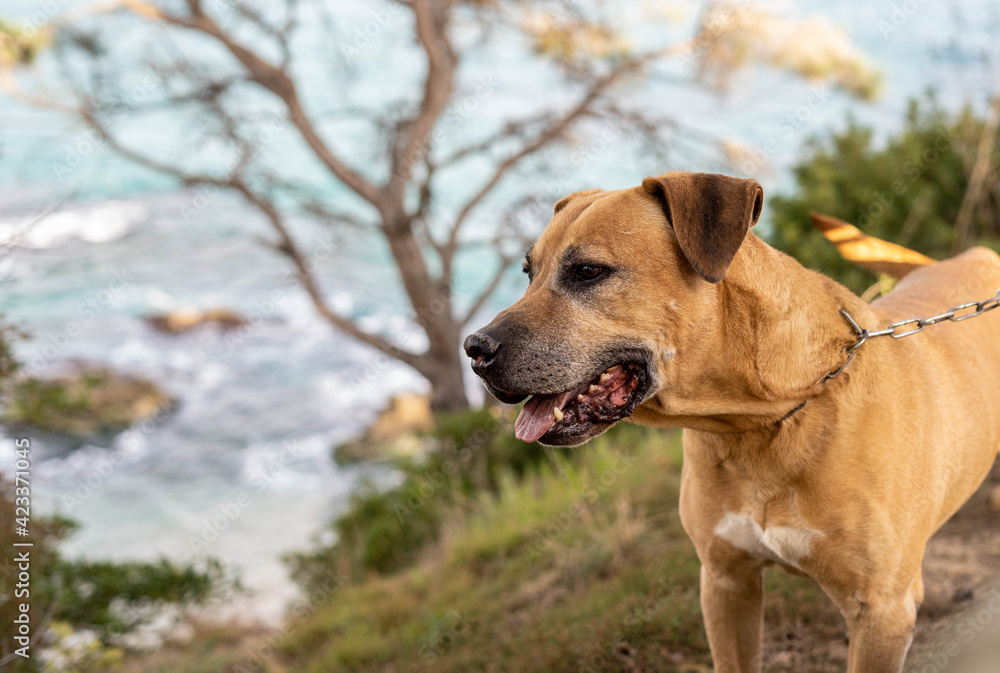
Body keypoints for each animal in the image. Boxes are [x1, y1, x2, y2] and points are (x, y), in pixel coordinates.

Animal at [462, 173, 1000, 672]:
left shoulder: (882, 614)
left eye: (588, 271)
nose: (474, 348)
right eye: (529, 273)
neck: (762, 425)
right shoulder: (725, 582)